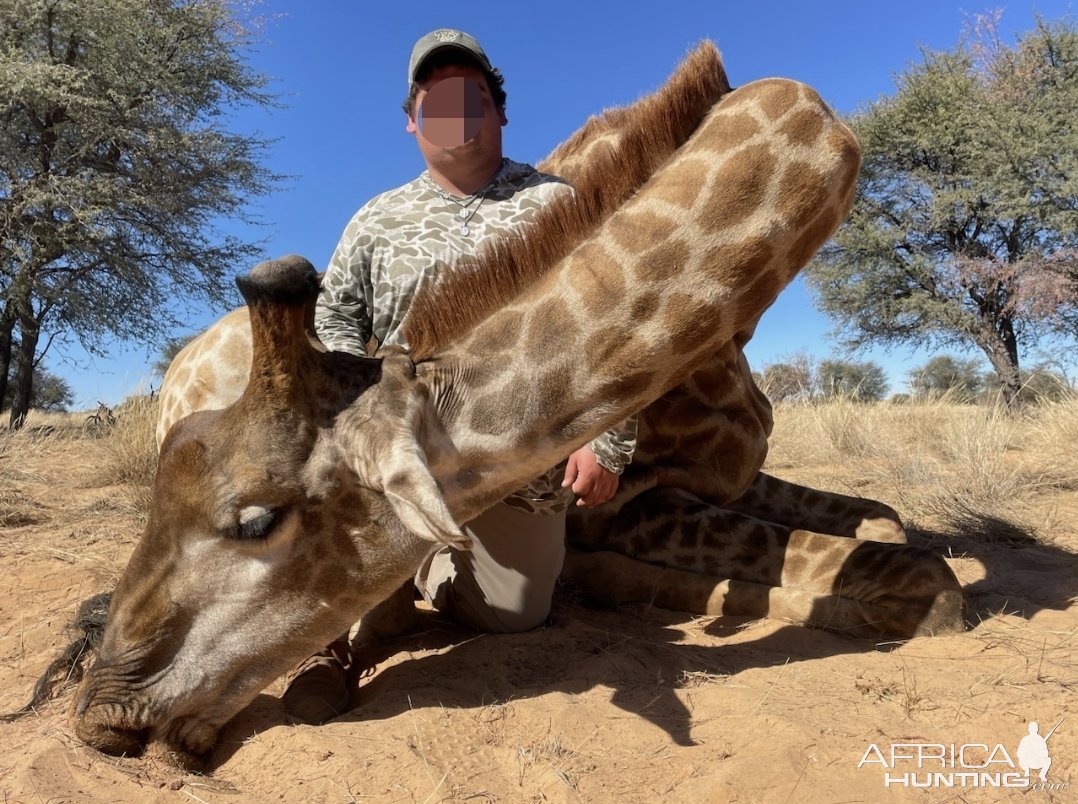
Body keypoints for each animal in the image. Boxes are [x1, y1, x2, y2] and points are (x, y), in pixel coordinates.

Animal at [78, 45, 970, 763]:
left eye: (256, 520)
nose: (101, 714)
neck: (718, 342)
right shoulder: (627, 511)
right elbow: (917, 576)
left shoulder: (728, 478)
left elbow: (892, 526)